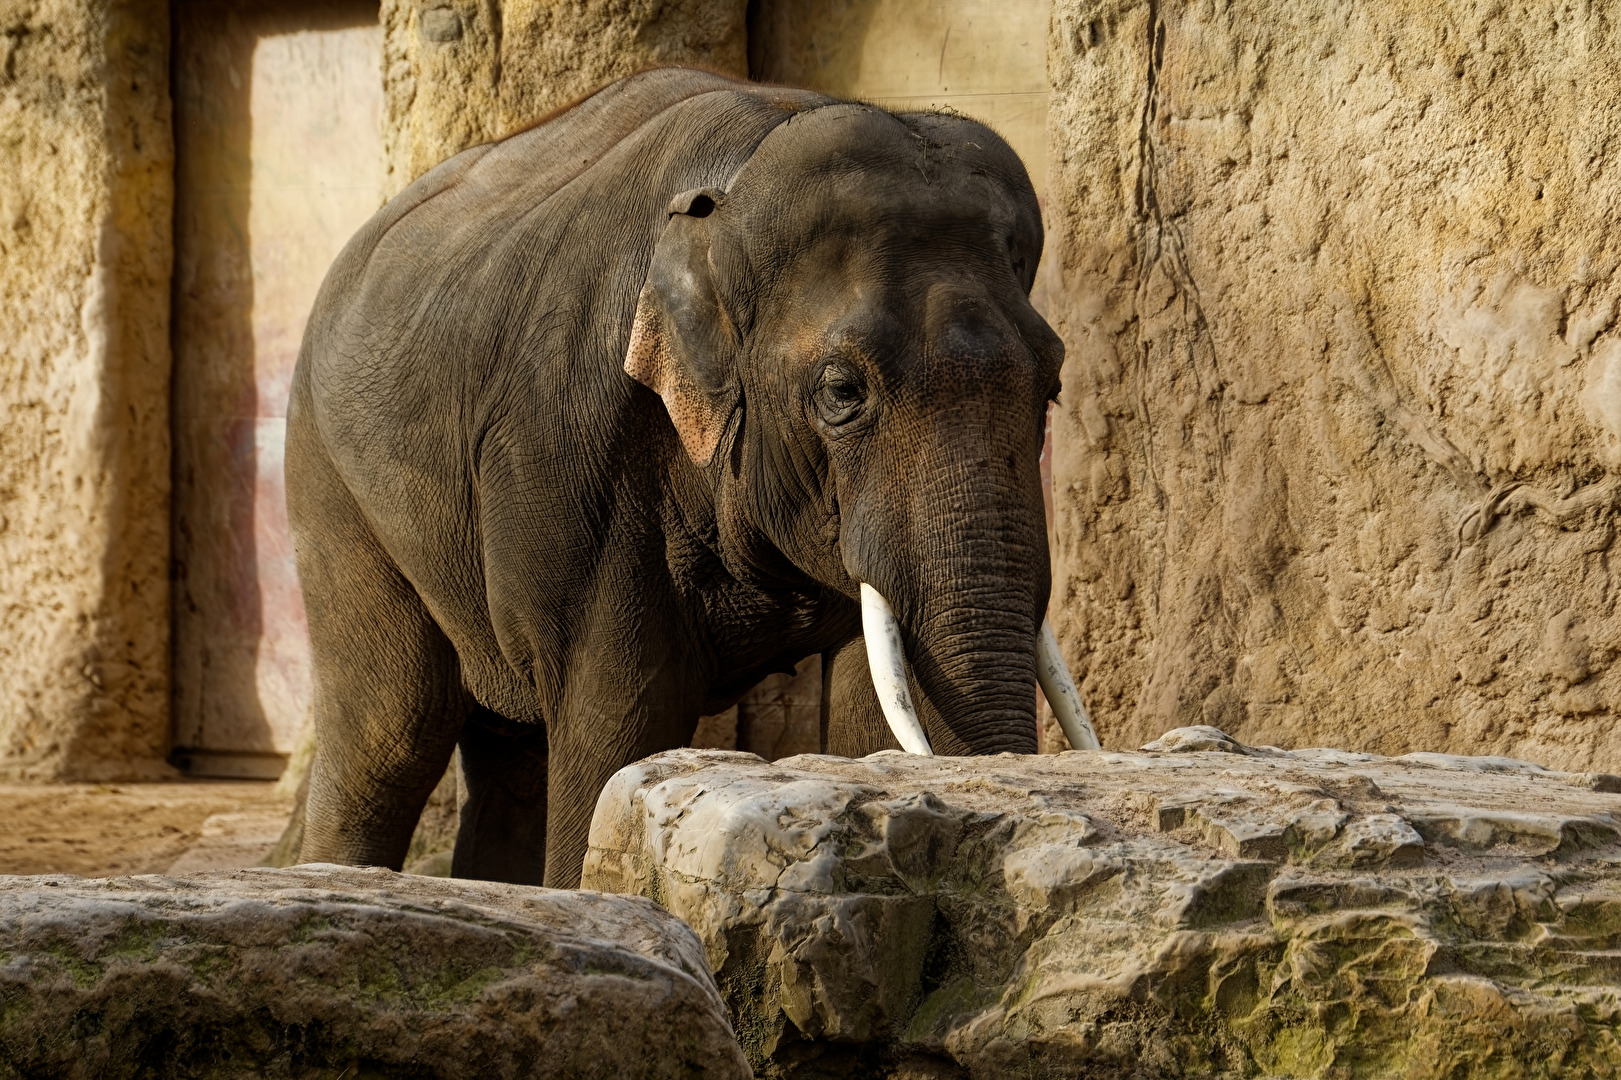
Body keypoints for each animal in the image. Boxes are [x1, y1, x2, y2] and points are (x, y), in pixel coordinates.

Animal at [289, 67, 1094, 889]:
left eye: (1053, 387)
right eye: (843, 392)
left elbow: (874, 703)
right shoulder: (570, 443)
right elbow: (623, 715)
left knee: (510, 758)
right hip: (329, 483)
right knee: (390, 735)